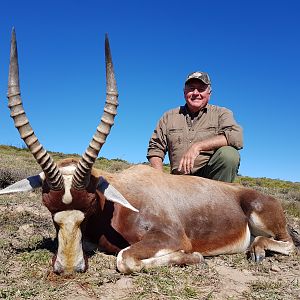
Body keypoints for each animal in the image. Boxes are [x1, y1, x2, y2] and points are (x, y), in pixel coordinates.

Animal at [0, 29, 296, 276]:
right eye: (48, 206)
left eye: (91, 203)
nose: (70, 268)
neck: (119, 203)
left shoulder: (171, 237)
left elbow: (125, 258)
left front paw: (195, 257)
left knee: (288, 243)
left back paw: (257, 250)